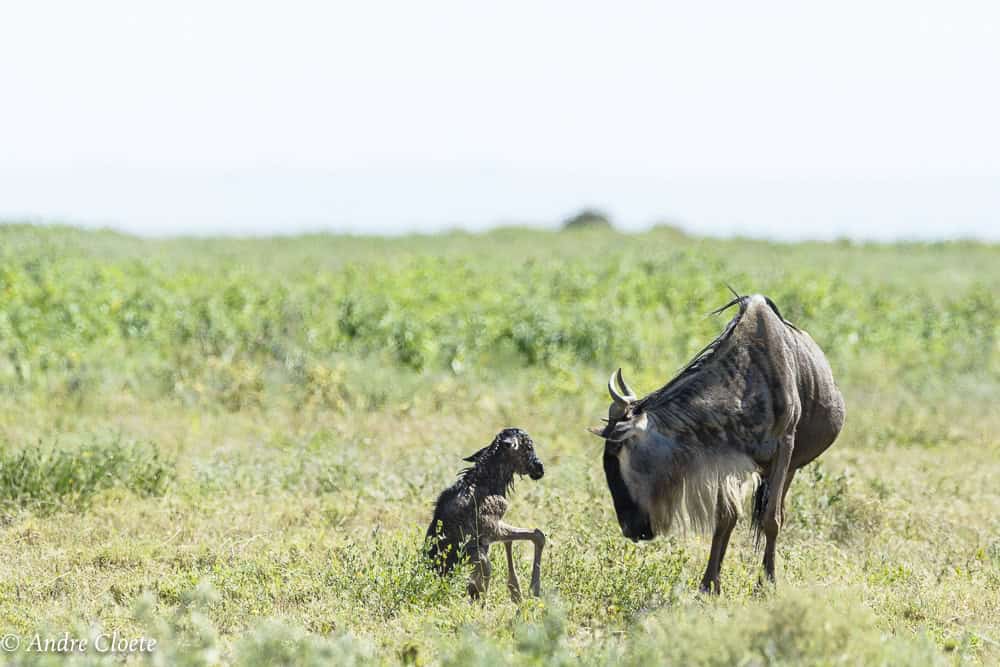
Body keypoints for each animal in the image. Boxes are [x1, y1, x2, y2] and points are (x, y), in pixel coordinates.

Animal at [424, 430, 548, 604]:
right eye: (529, 447)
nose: (540, 468)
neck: (487, 480)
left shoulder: (492, 533)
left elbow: (511, 540)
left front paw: (516, 592)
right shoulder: (491, 528)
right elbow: (537, 535)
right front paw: (532, 590)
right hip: (480, 560)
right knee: (479, 592)